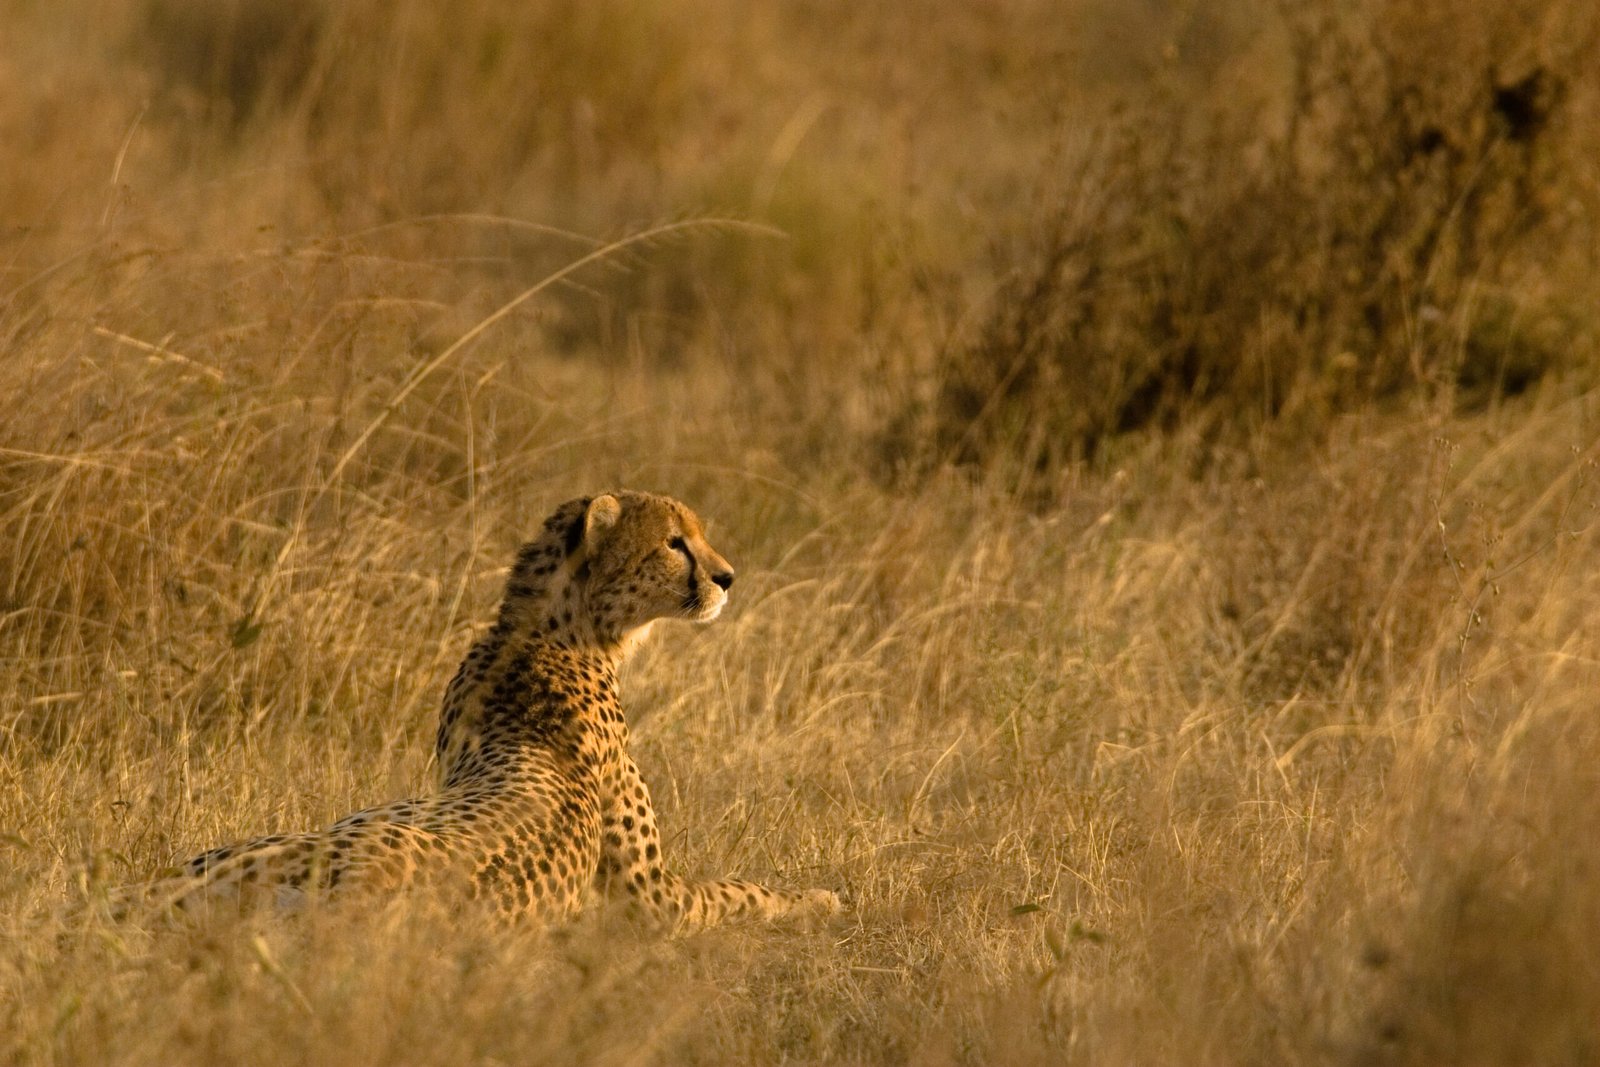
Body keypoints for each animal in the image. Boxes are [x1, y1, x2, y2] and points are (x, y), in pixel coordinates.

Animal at [127, 490, 840, 931]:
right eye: (674, 542)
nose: (727, 578)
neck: (547, 631)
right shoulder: (652, 899)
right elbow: (739, 891)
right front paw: (820, 897)